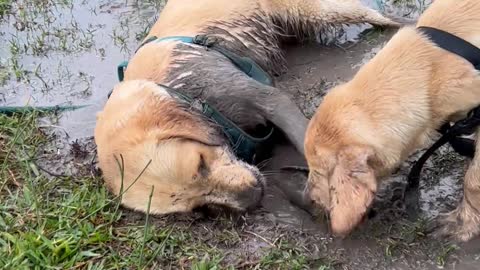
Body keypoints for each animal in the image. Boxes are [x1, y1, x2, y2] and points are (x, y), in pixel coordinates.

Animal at [94, 0, 402, 215]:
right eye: (200, 207)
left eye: (200, 164)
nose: (255, 195)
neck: (180, 89)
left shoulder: (268, 98)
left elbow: (304, 137)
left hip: (315, 10)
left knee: (378, 16)